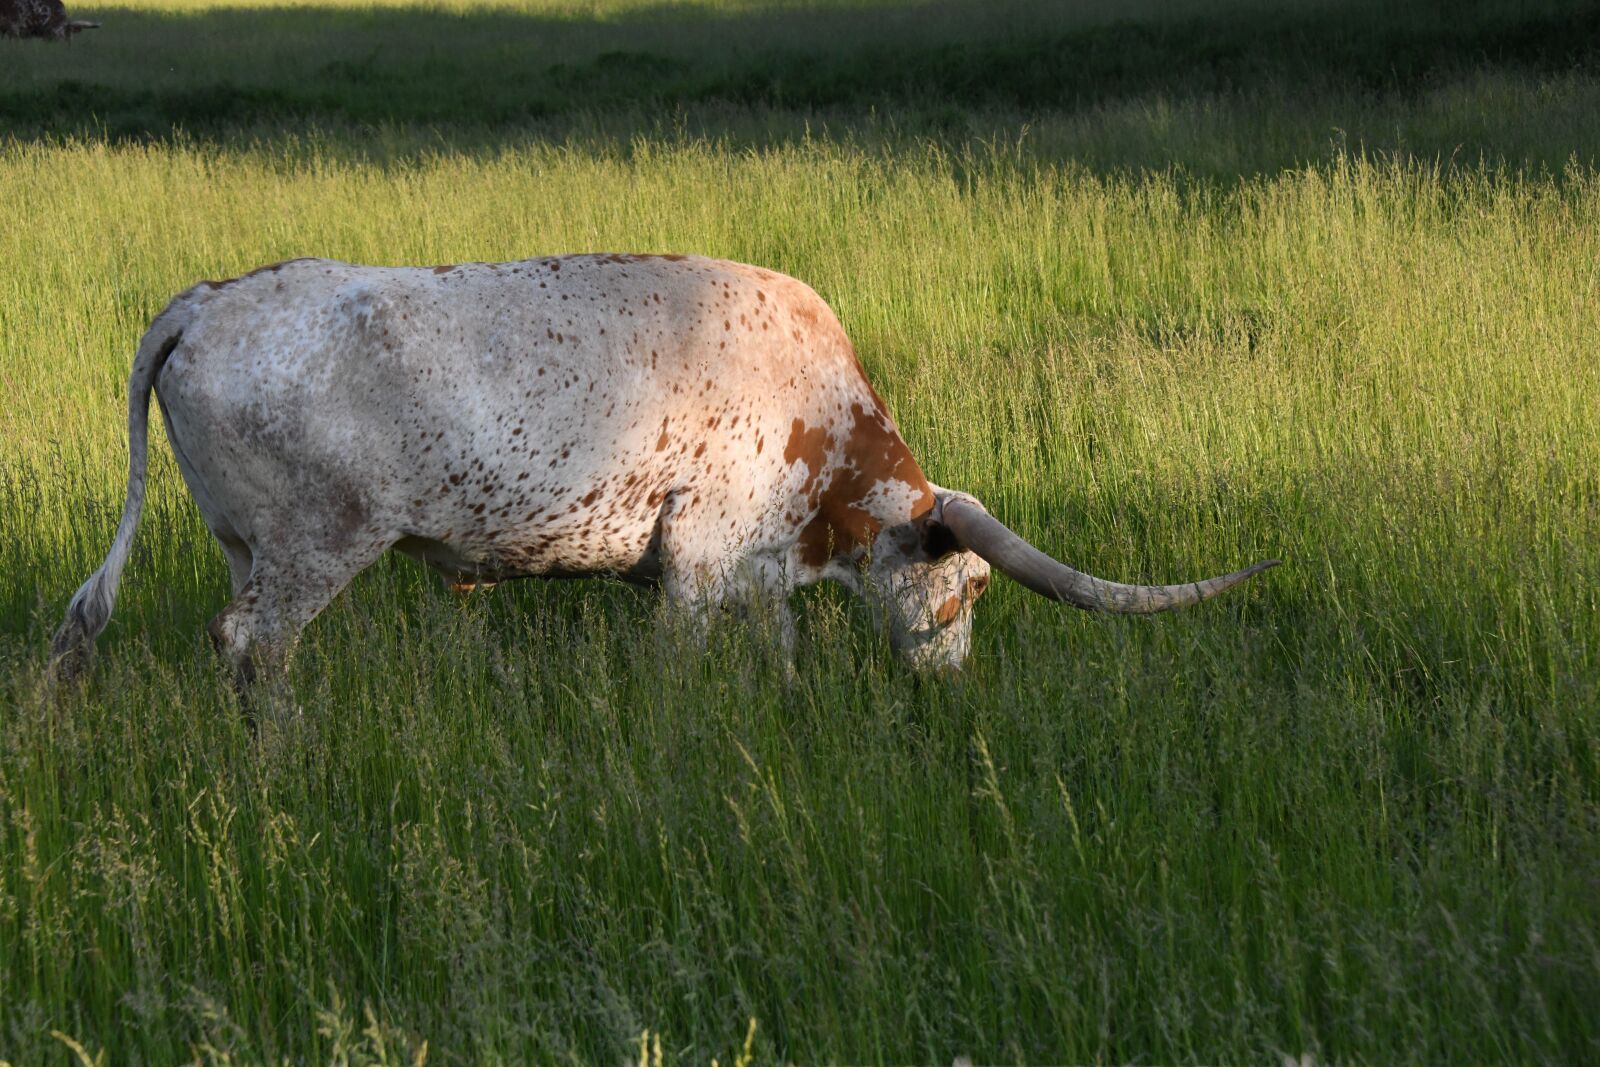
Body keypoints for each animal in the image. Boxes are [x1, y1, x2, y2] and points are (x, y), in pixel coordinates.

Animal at [50, 254, 1276, 690]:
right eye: (970, 585)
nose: (952, 683)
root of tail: (206, 299)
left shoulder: (760, 570)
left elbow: (778, 649)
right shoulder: (696, 561)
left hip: (244, 542)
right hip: (316, 546)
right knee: (252, 643)